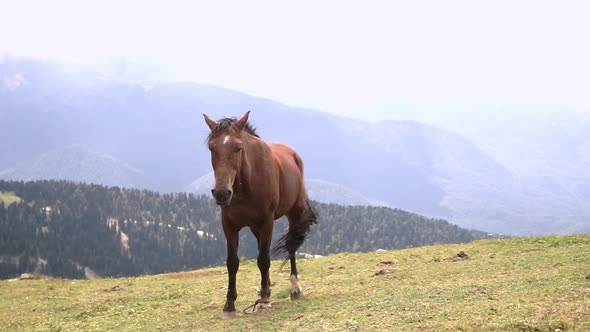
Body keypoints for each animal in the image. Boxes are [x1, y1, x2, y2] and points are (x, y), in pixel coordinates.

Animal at [202, 111, 316, 316]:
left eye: (238, 147)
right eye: (211, 148)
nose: (222, 193)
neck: (246, 185)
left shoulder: (267, 222)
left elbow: (263, 259)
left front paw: (264, 301)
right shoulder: (228, 224)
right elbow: (232, 262)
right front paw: (229, 303)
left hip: (292, 214)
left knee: (291, 246)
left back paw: (294, 288)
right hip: (255, 227)